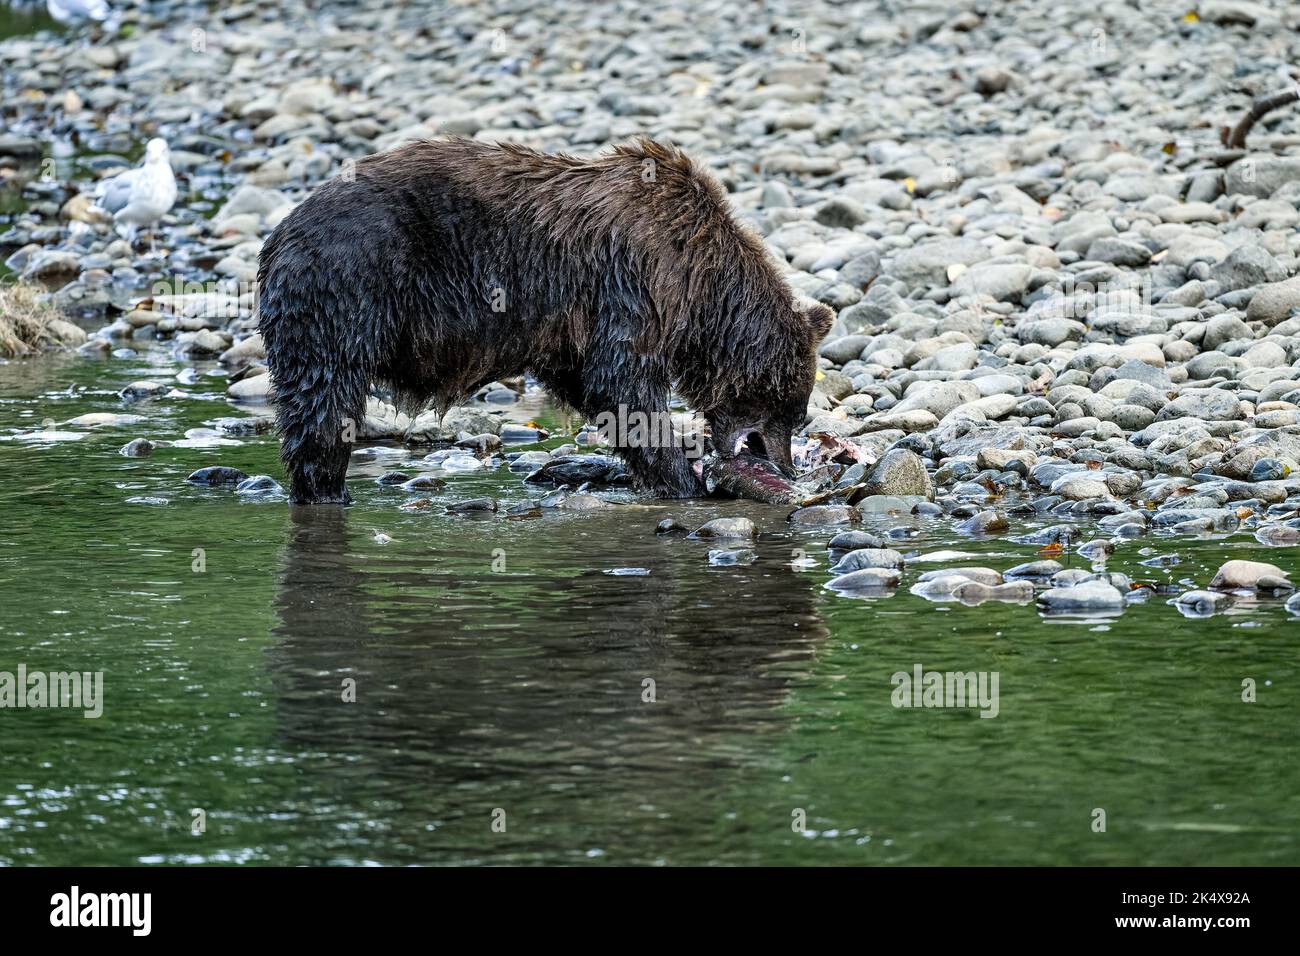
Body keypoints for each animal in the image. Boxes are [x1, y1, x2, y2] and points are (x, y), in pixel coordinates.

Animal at [256, 139, 832, 509]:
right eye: (793, 409)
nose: (786, 466)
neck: (699, 286)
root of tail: (280, 234)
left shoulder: (571, 326)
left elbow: (594, 386)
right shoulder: (630, 280)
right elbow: (624, 383)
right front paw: (685, 480)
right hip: (347, 288)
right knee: (326, 402)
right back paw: (329, 490)